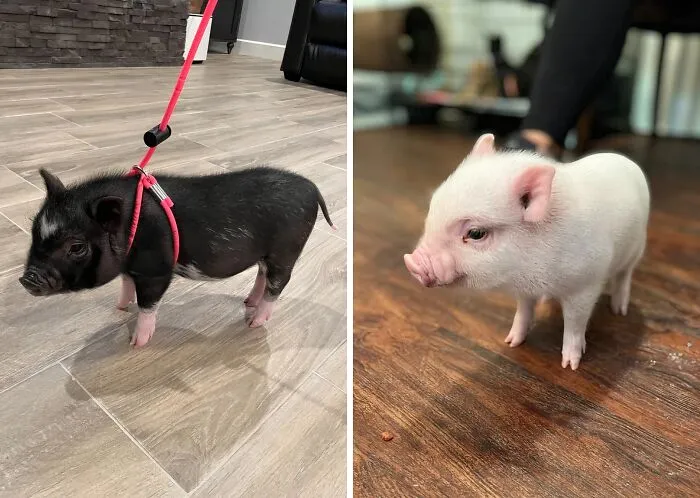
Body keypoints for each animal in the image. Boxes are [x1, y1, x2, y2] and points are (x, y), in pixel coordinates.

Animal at [19, 166, 334, 347]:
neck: (131, 226)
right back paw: (248, 303)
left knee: (278, 283)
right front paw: (120, 307)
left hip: (287, 249)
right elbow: (126, 284)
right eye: (34, 231)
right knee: (262, 274)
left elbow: (148, 305)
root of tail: (312, 188)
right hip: (267, 253)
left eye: (76, 247)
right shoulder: (130, 268)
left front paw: (137, 342)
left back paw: (254, 322)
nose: (27, 279)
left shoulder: (156, 270)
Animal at [404, 133, 650, 370]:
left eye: (475, 233)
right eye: (433, 207)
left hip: (636, 249)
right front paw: (511, 342)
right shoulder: (525, 289)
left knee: (624, 276)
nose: (412, 261)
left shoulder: (585, 284)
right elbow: (523, 310)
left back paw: (619, 310)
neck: (532, 274)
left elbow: (574, 324)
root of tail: (624, 159)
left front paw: (570, 365)